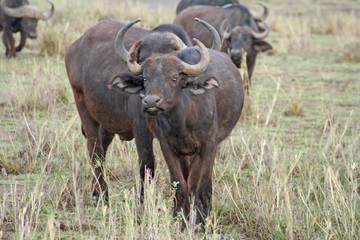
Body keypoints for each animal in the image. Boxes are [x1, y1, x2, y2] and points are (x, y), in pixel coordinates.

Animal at [65, 18, 221, 203]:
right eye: (144, 62)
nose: (150, 100)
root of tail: (74, 48)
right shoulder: (140, 128)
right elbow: (147, 164)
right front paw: (143, 200)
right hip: (83, 106)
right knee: (95, 150)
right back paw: (103, 195)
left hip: (106, 121)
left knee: (102, 147)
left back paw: (96, 191)